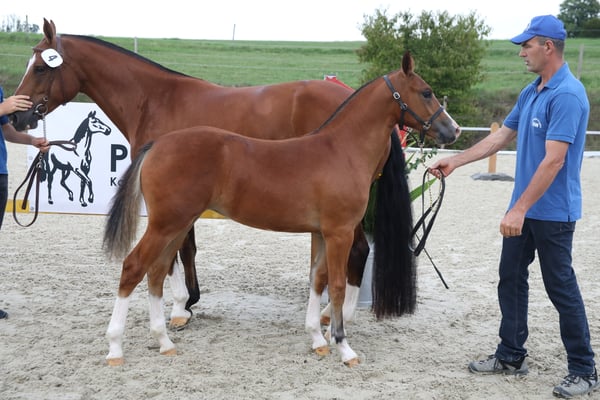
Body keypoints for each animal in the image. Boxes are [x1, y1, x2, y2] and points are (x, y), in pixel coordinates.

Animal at [11, 18, 413, 329]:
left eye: (42, 67)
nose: (17, 115)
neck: (156, 99)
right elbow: (183, 249)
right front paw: (187, 302)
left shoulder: (176, 202)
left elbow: (179, 251)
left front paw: (179, 307)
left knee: (359, 249)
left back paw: (335, 313)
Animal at [102, 51, 460, 367]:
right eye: (426, 92)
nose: (453, 130)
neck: (342, 149)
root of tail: (157, 146)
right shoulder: (339, 233)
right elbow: (337, 285)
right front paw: (343, 347)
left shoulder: (321, 233)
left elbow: (317, 279)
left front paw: (317, 339)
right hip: (166, 224)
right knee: (133, 267)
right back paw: (116, 348)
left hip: (176, 224)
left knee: (156, 272)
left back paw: (164, 342)